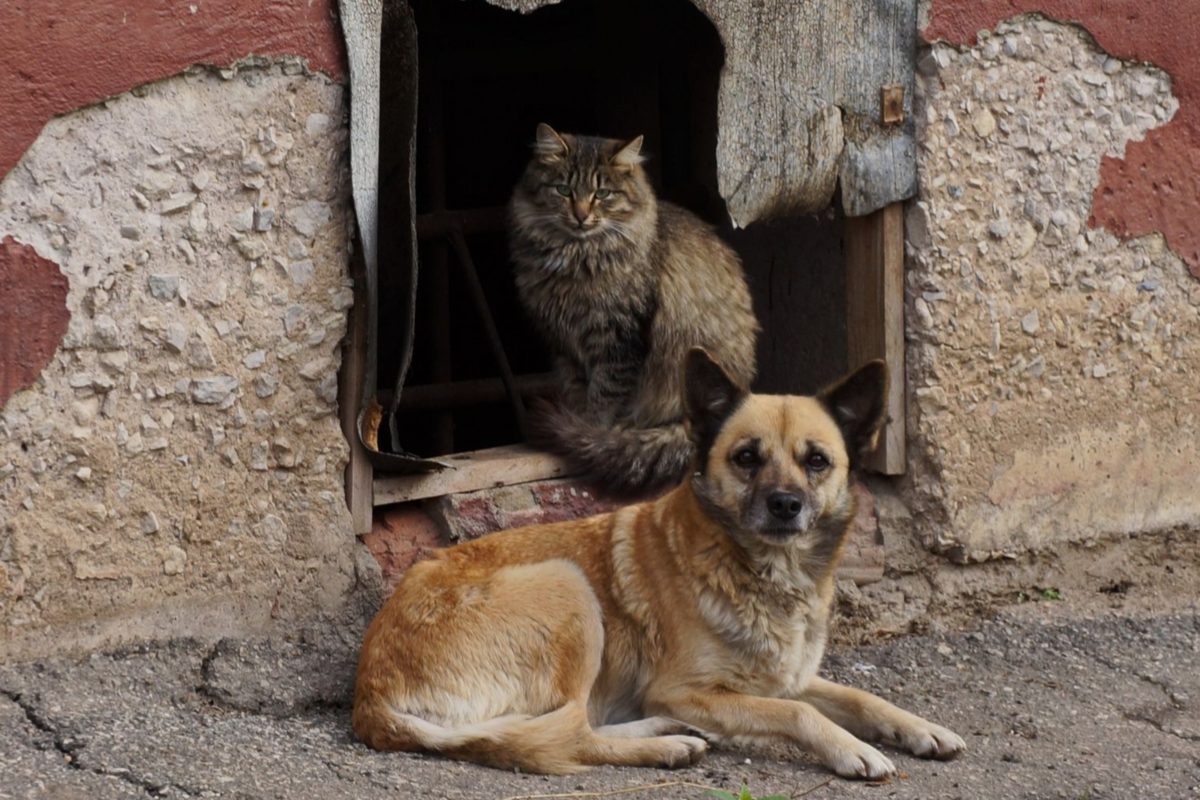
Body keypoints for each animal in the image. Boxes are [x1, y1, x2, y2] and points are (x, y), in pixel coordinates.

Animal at [352, 347, 964, 777]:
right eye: (747, 458)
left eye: (817, 461)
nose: (785, 505)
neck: (762, 571)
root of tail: (370, 698)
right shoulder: (688, 689)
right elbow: (800, 713)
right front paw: (850, 749)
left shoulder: (781, 679)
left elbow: (861, 695)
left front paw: (920, 729)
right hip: (570, 587)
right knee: (570, 735)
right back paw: (667, 745)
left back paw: (662, 732)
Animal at [508, 123, 758, 494]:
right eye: (563, 189)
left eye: (602, 194)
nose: (580, 215)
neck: (574, 256)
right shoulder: (563, 342)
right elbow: (578, 389)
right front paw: (578, 421)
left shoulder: (618, 337)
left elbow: (605, 394)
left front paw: (589, 432)